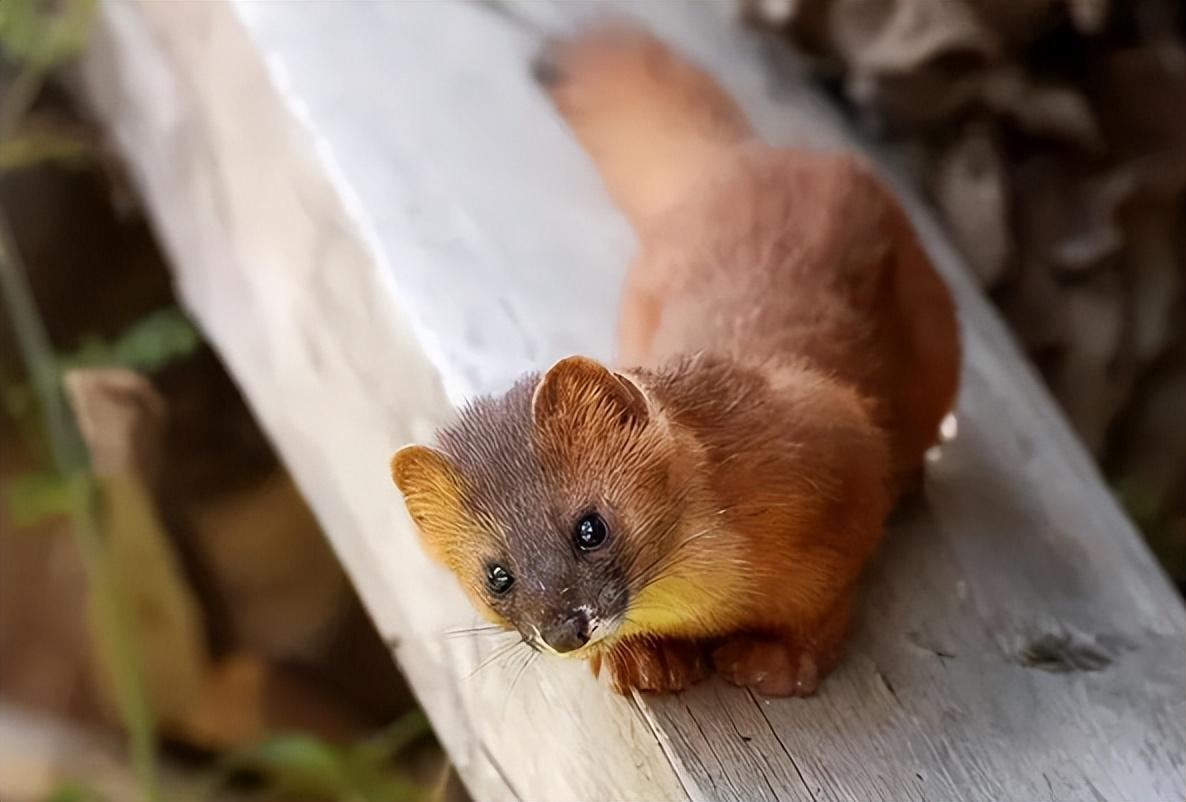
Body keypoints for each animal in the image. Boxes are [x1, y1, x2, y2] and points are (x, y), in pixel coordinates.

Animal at [393, 26, 958, 697]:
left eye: (590, 526)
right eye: (495, 574)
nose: (565, 630)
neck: (711, 597)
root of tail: (738, 160)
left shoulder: (843, 445)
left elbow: (824, 603)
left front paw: (775, 660)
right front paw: (645, 658)